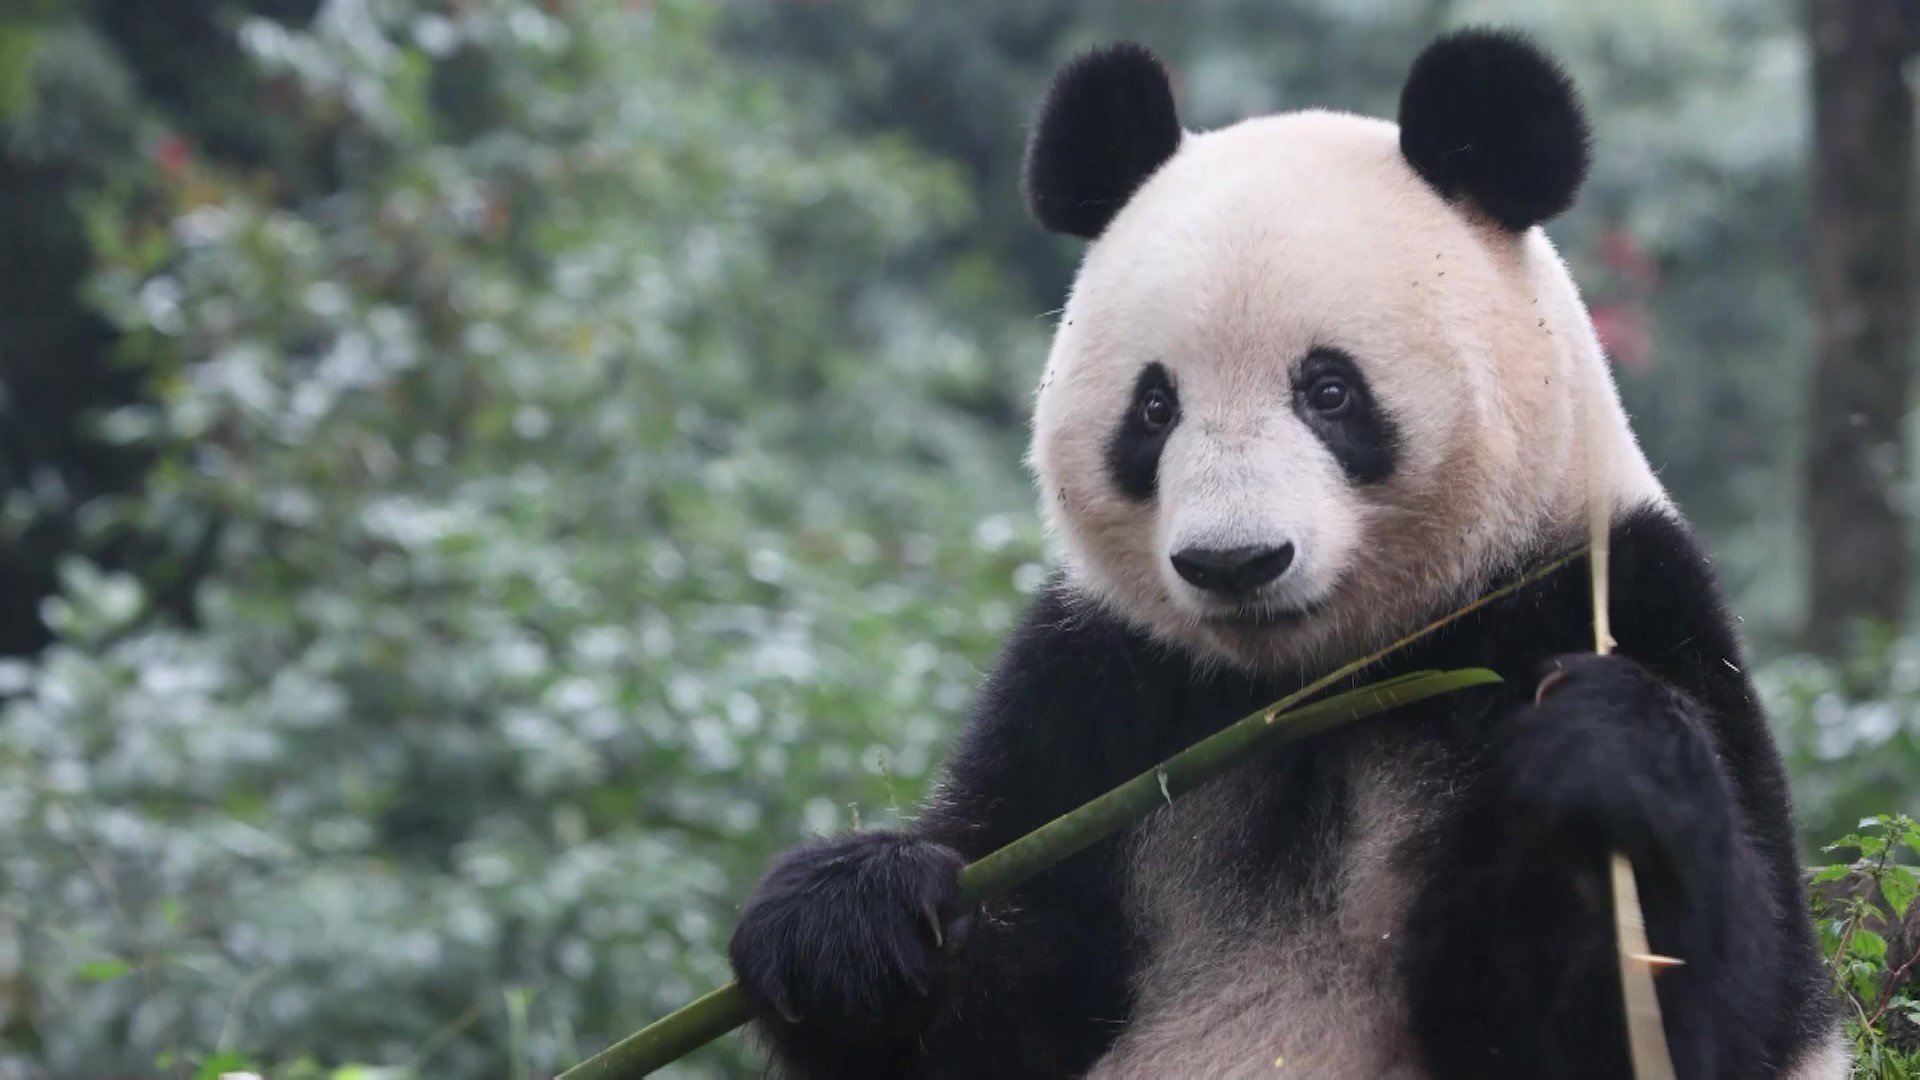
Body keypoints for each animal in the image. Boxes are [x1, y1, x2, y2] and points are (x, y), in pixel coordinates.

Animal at [725, 27, 1835, 1076]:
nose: (1234, 562)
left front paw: (1603, 763)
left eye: (1329, 391)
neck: (1309, 689)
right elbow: (999, 1000)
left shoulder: (1611, 597)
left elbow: (1667, 1016)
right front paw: (846, 917)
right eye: (1155, 408)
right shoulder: (1099, 686)